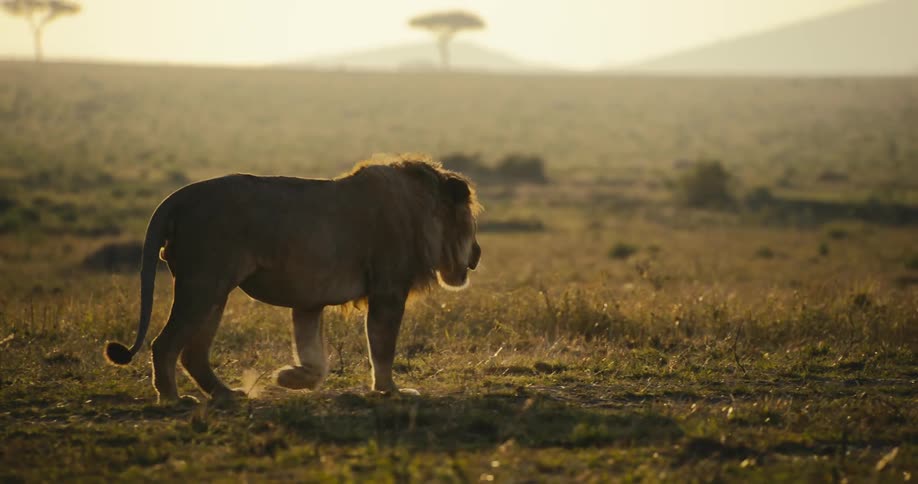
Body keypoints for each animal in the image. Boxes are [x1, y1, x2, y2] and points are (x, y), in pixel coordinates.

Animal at [104, 158, 482, 403]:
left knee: (192, 352)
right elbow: (382, 347)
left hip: (213, 291)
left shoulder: (309, 301)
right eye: (470, 222)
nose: (477, 254)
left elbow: (314, 355)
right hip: (203, 284)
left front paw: (289, 378)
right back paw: (173, 399)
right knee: (164, 344)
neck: (422, 211)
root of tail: (179, 197)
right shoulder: (388, 292)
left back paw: (228, 394)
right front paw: (391, 391)